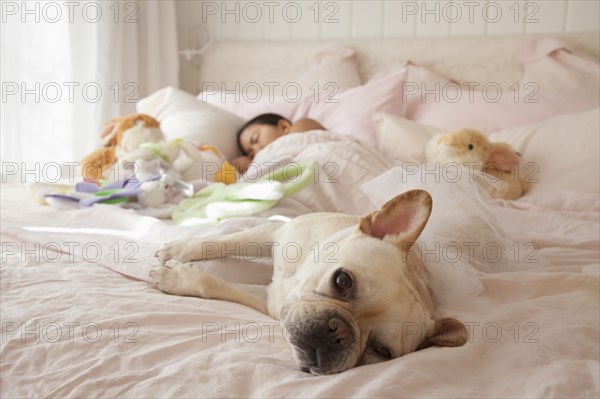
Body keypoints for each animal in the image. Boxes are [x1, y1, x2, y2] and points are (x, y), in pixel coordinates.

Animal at [151, 190, 468, 376]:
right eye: (343, 281)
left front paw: (178, 277)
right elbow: (224, 241)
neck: (297, 278)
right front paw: (180, 249)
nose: (339, 332)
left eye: (381, 352)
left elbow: (213, 283)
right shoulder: (275, 232)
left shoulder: (270, 301)